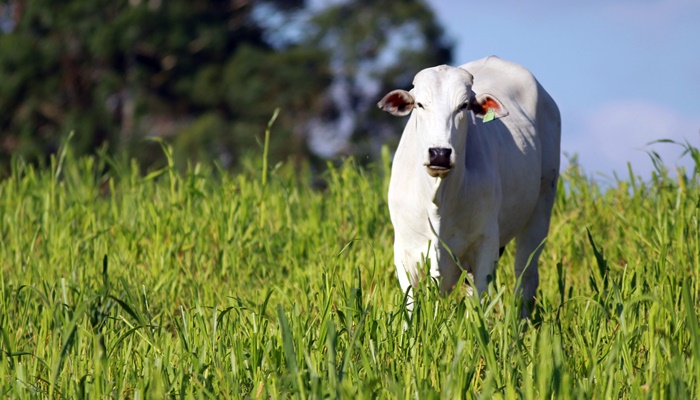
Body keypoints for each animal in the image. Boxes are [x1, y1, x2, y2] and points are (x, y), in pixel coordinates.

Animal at [378, 56, 556, 316]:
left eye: (463, 106)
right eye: (420, 104)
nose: (439, 153)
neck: (438, 197)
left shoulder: (486, 244)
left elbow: (479, 303)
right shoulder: (405, 250)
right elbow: (411, 306)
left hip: (542, 206)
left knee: (526, 277)